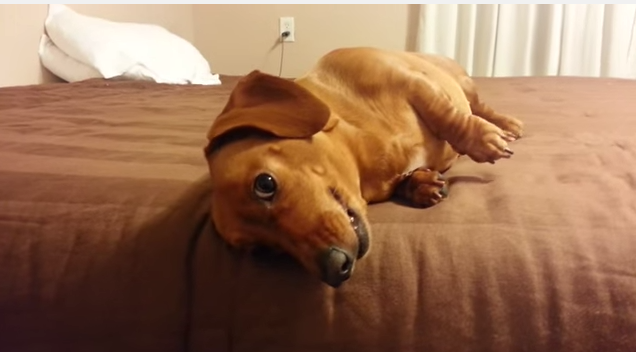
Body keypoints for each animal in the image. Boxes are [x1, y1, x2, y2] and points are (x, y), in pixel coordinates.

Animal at [204, 46, 520, 288]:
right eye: (263, 251)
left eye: (265, 184)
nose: (336, 269)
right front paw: (420, 184)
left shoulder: (412, 83)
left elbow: (447, 117)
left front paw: (481, 140)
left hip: (461, 83)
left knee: (478, 106)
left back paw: (507, 125)